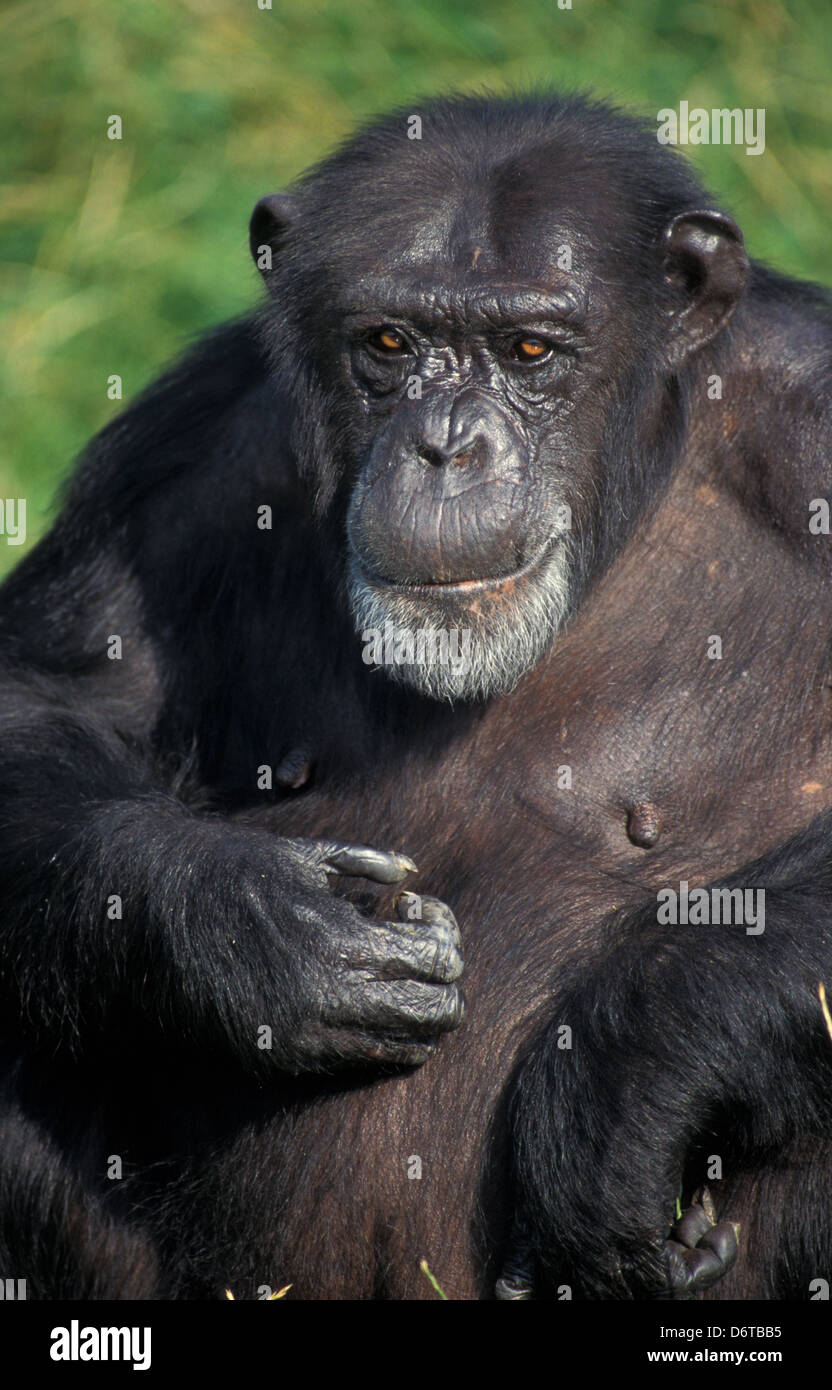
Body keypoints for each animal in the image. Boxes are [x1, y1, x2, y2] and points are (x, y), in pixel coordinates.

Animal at [1, 92, 832, 1295]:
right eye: (390, 344)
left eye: (529, 349)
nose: (444, 446)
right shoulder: (195, 440)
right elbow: (50, 697)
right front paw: (255, 931)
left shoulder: (819, 431)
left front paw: (627, 1093)